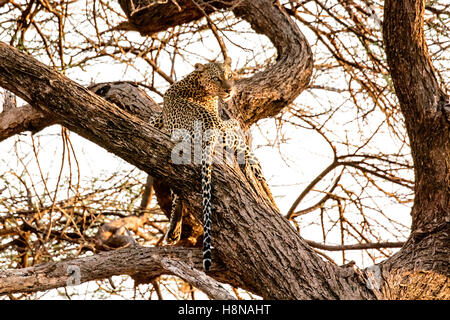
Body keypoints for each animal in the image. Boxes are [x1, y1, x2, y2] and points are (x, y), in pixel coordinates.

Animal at [150, 57, 274, 270]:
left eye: (230, 76)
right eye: (217, 78)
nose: (229, 90)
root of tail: (208, 131)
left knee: (177, 191)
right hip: (234, 142)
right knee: (257, 167)